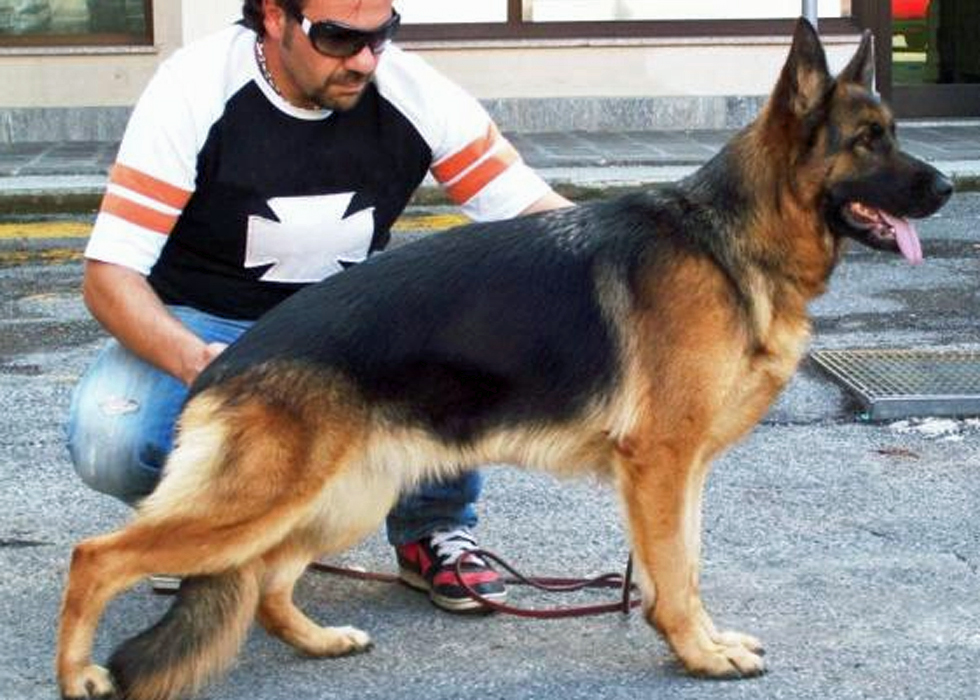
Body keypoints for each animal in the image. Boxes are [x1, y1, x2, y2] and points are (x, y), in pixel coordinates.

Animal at [56, 19, 952, 700]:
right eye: (868, 141)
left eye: (893, 134)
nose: (945, 187)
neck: (730, 238)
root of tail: (227, 362)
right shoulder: (661, 465)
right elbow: (676, 570)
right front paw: (698, 654)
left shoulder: (681, 470)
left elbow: (684, 568)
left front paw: (696, 639)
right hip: (262, 499)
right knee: (97, 558)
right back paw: (79, 676)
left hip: (340, 495)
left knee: (268, 583)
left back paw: (316, 639)